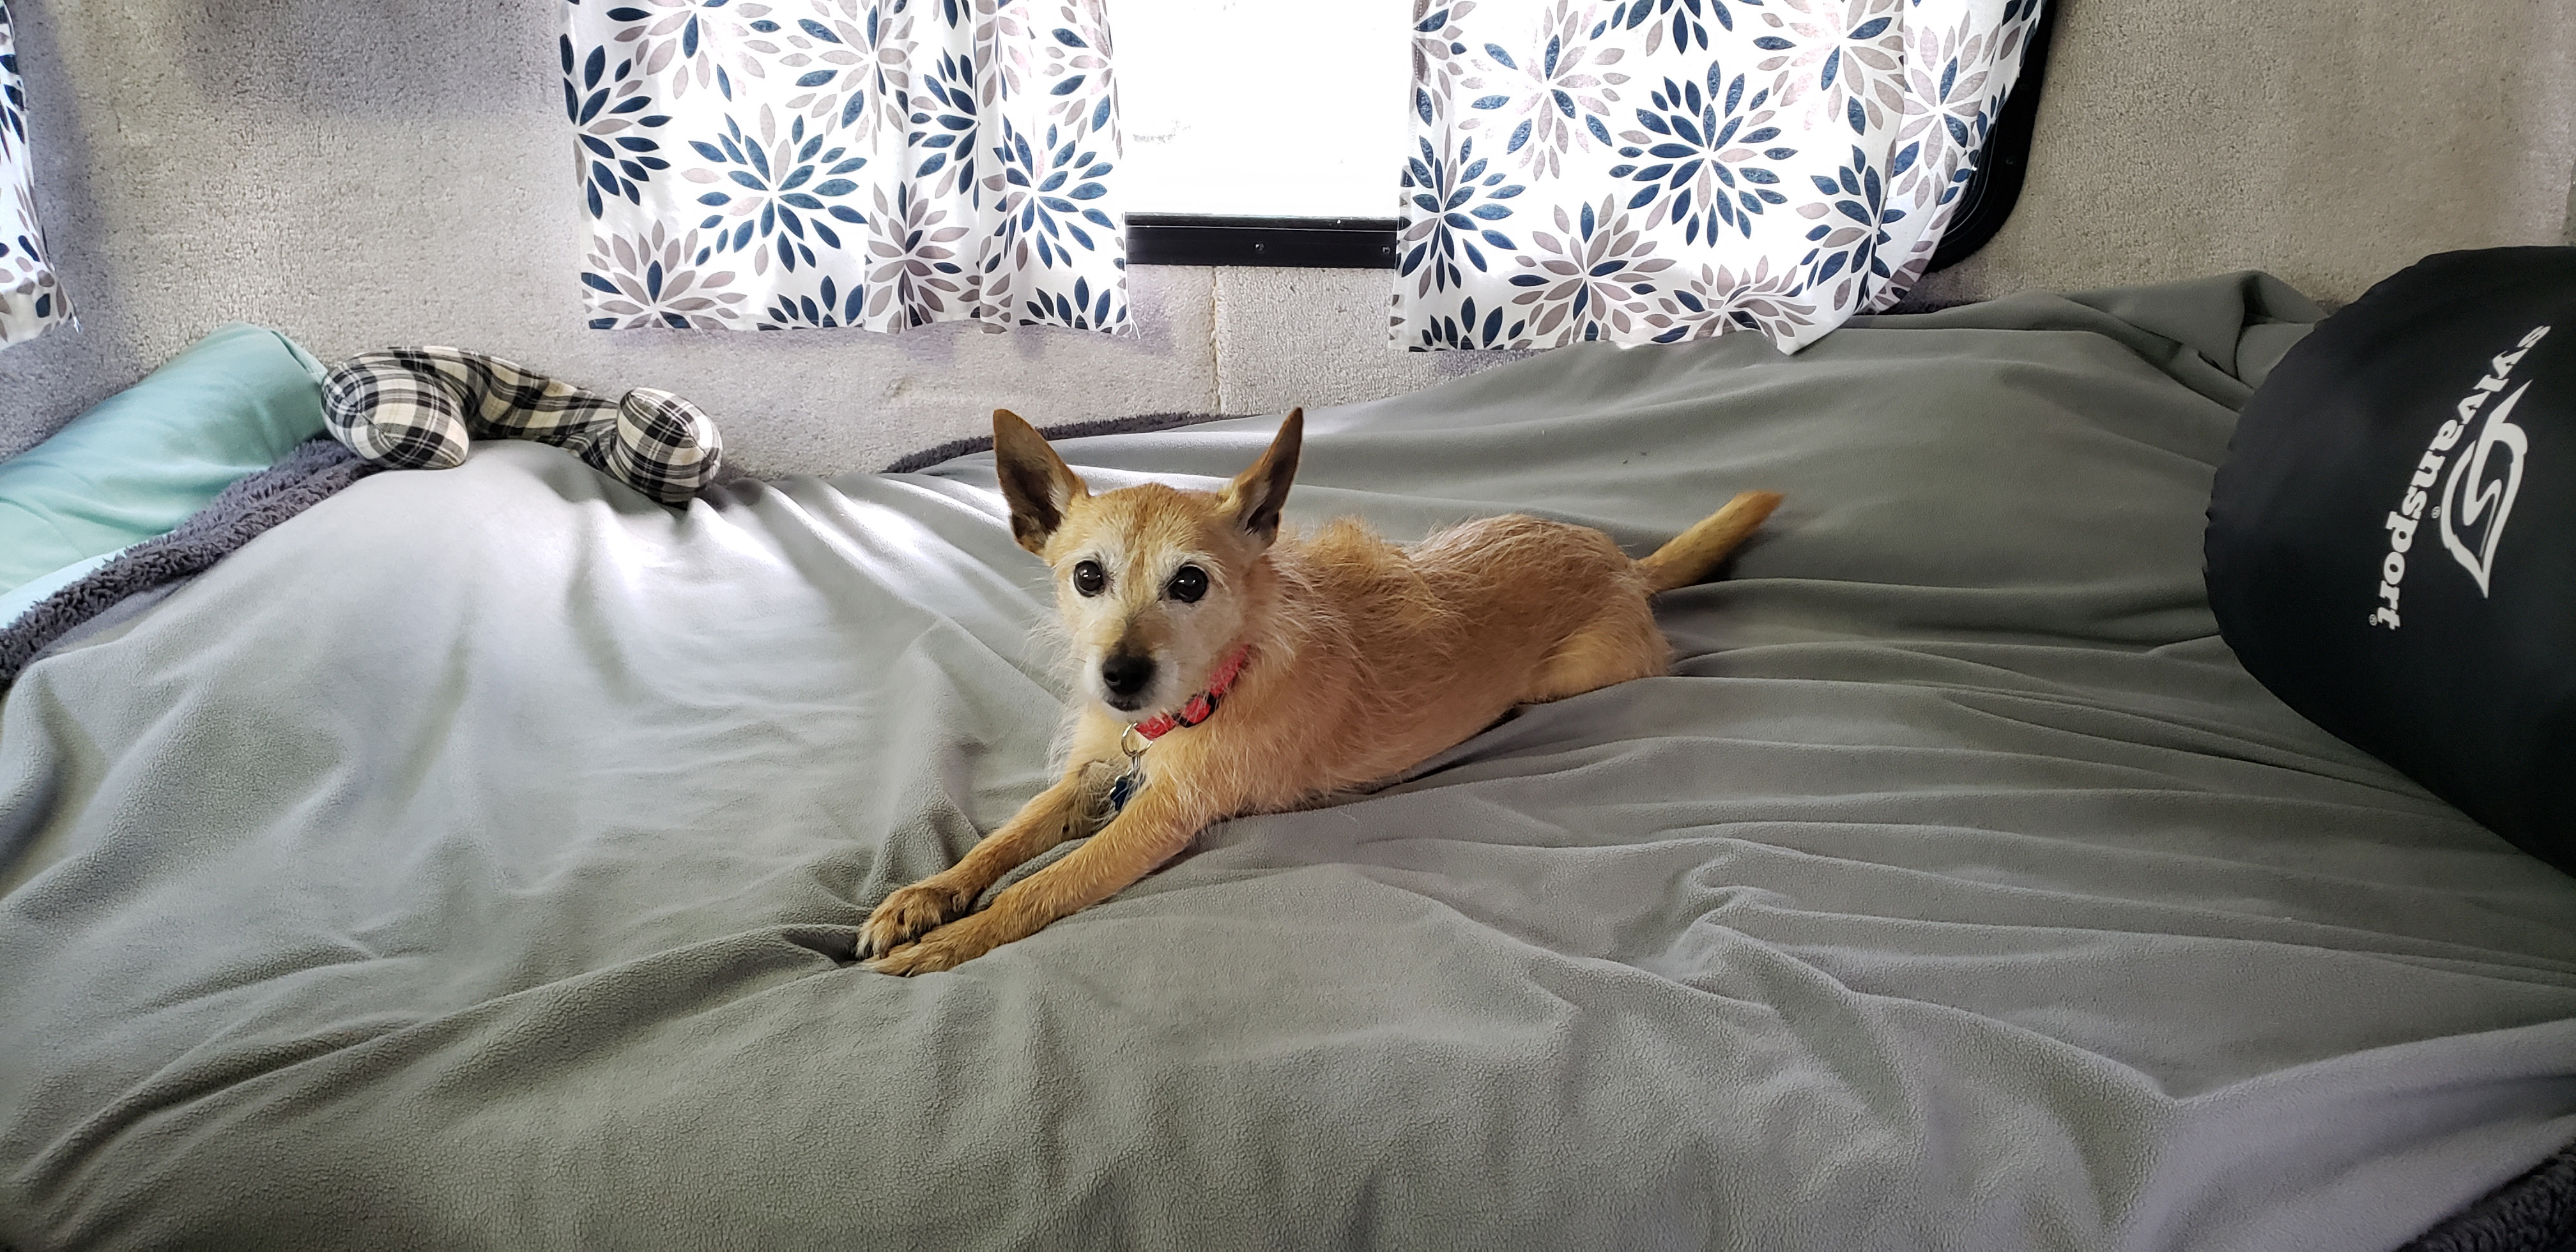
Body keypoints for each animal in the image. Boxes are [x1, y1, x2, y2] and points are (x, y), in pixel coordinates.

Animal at [860, 407, 1781, 974]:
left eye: (1189, 584)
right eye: (1088, 576)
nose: (1119, 676)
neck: (1201, 695)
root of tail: (1626, 563)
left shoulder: (1161, 820)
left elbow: (1041, 886)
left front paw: (955, 940)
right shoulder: (1093, 772)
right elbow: (1002, 842)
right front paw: (924, 897)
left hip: (1580, 674)